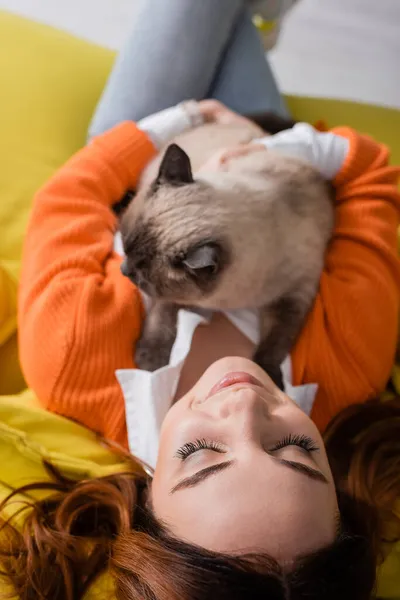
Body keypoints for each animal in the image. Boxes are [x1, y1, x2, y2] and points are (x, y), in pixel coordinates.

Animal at [119, 115, 334, 390]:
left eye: (141, 276)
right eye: (125, 246)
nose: (124, 269)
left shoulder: (294, 296)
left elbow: (276, 342)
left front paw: (269, 375)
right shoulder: (173, 299)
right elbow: (162, 316)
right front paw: (151, 358)